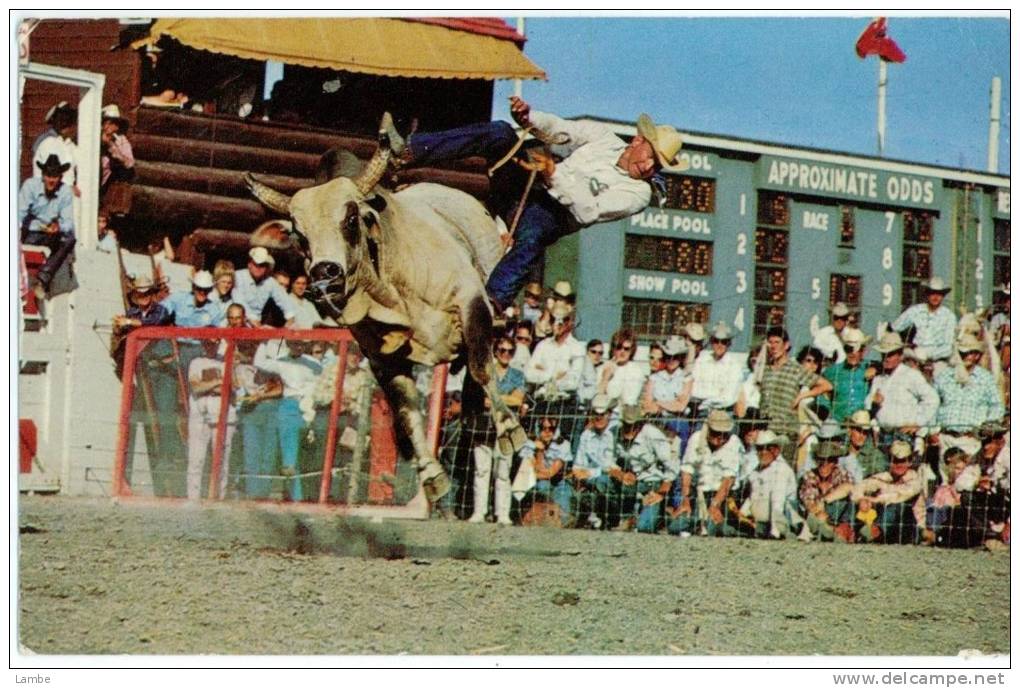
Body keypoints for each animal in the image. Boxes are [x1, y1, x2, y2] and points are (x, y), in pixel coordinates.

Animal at [245, 121, 526, 503]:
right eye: (299, 236)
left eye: (351, 219)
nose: (325, 274)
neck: (391, 291)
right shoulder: (381, 357)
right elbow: (406, 410)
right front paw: (431, 475)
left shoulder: (471, 301)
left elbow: (483, 367)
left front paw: (510, 428)